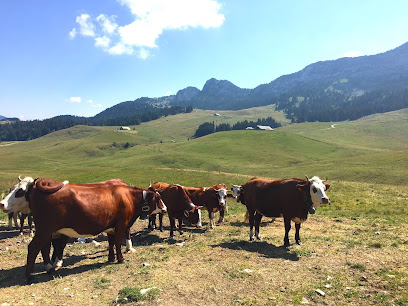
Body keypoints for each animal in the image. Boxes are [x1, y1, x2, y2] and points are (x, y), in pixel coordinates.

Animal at [0, 178, 166, 284]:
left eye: (20, 191)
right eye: (158, 198)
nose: (165, 208)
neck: (128, 196)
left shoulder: (111, 227)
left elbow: (111, 243)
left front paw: (111, 257)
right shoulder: (121, 224)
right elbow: (118, 242)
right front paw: (120, 259)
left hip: (46, 230)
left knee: (43, 248)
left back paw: (48, 268)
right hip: (44, 229)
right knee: (33, 247)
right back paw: (30, 275)